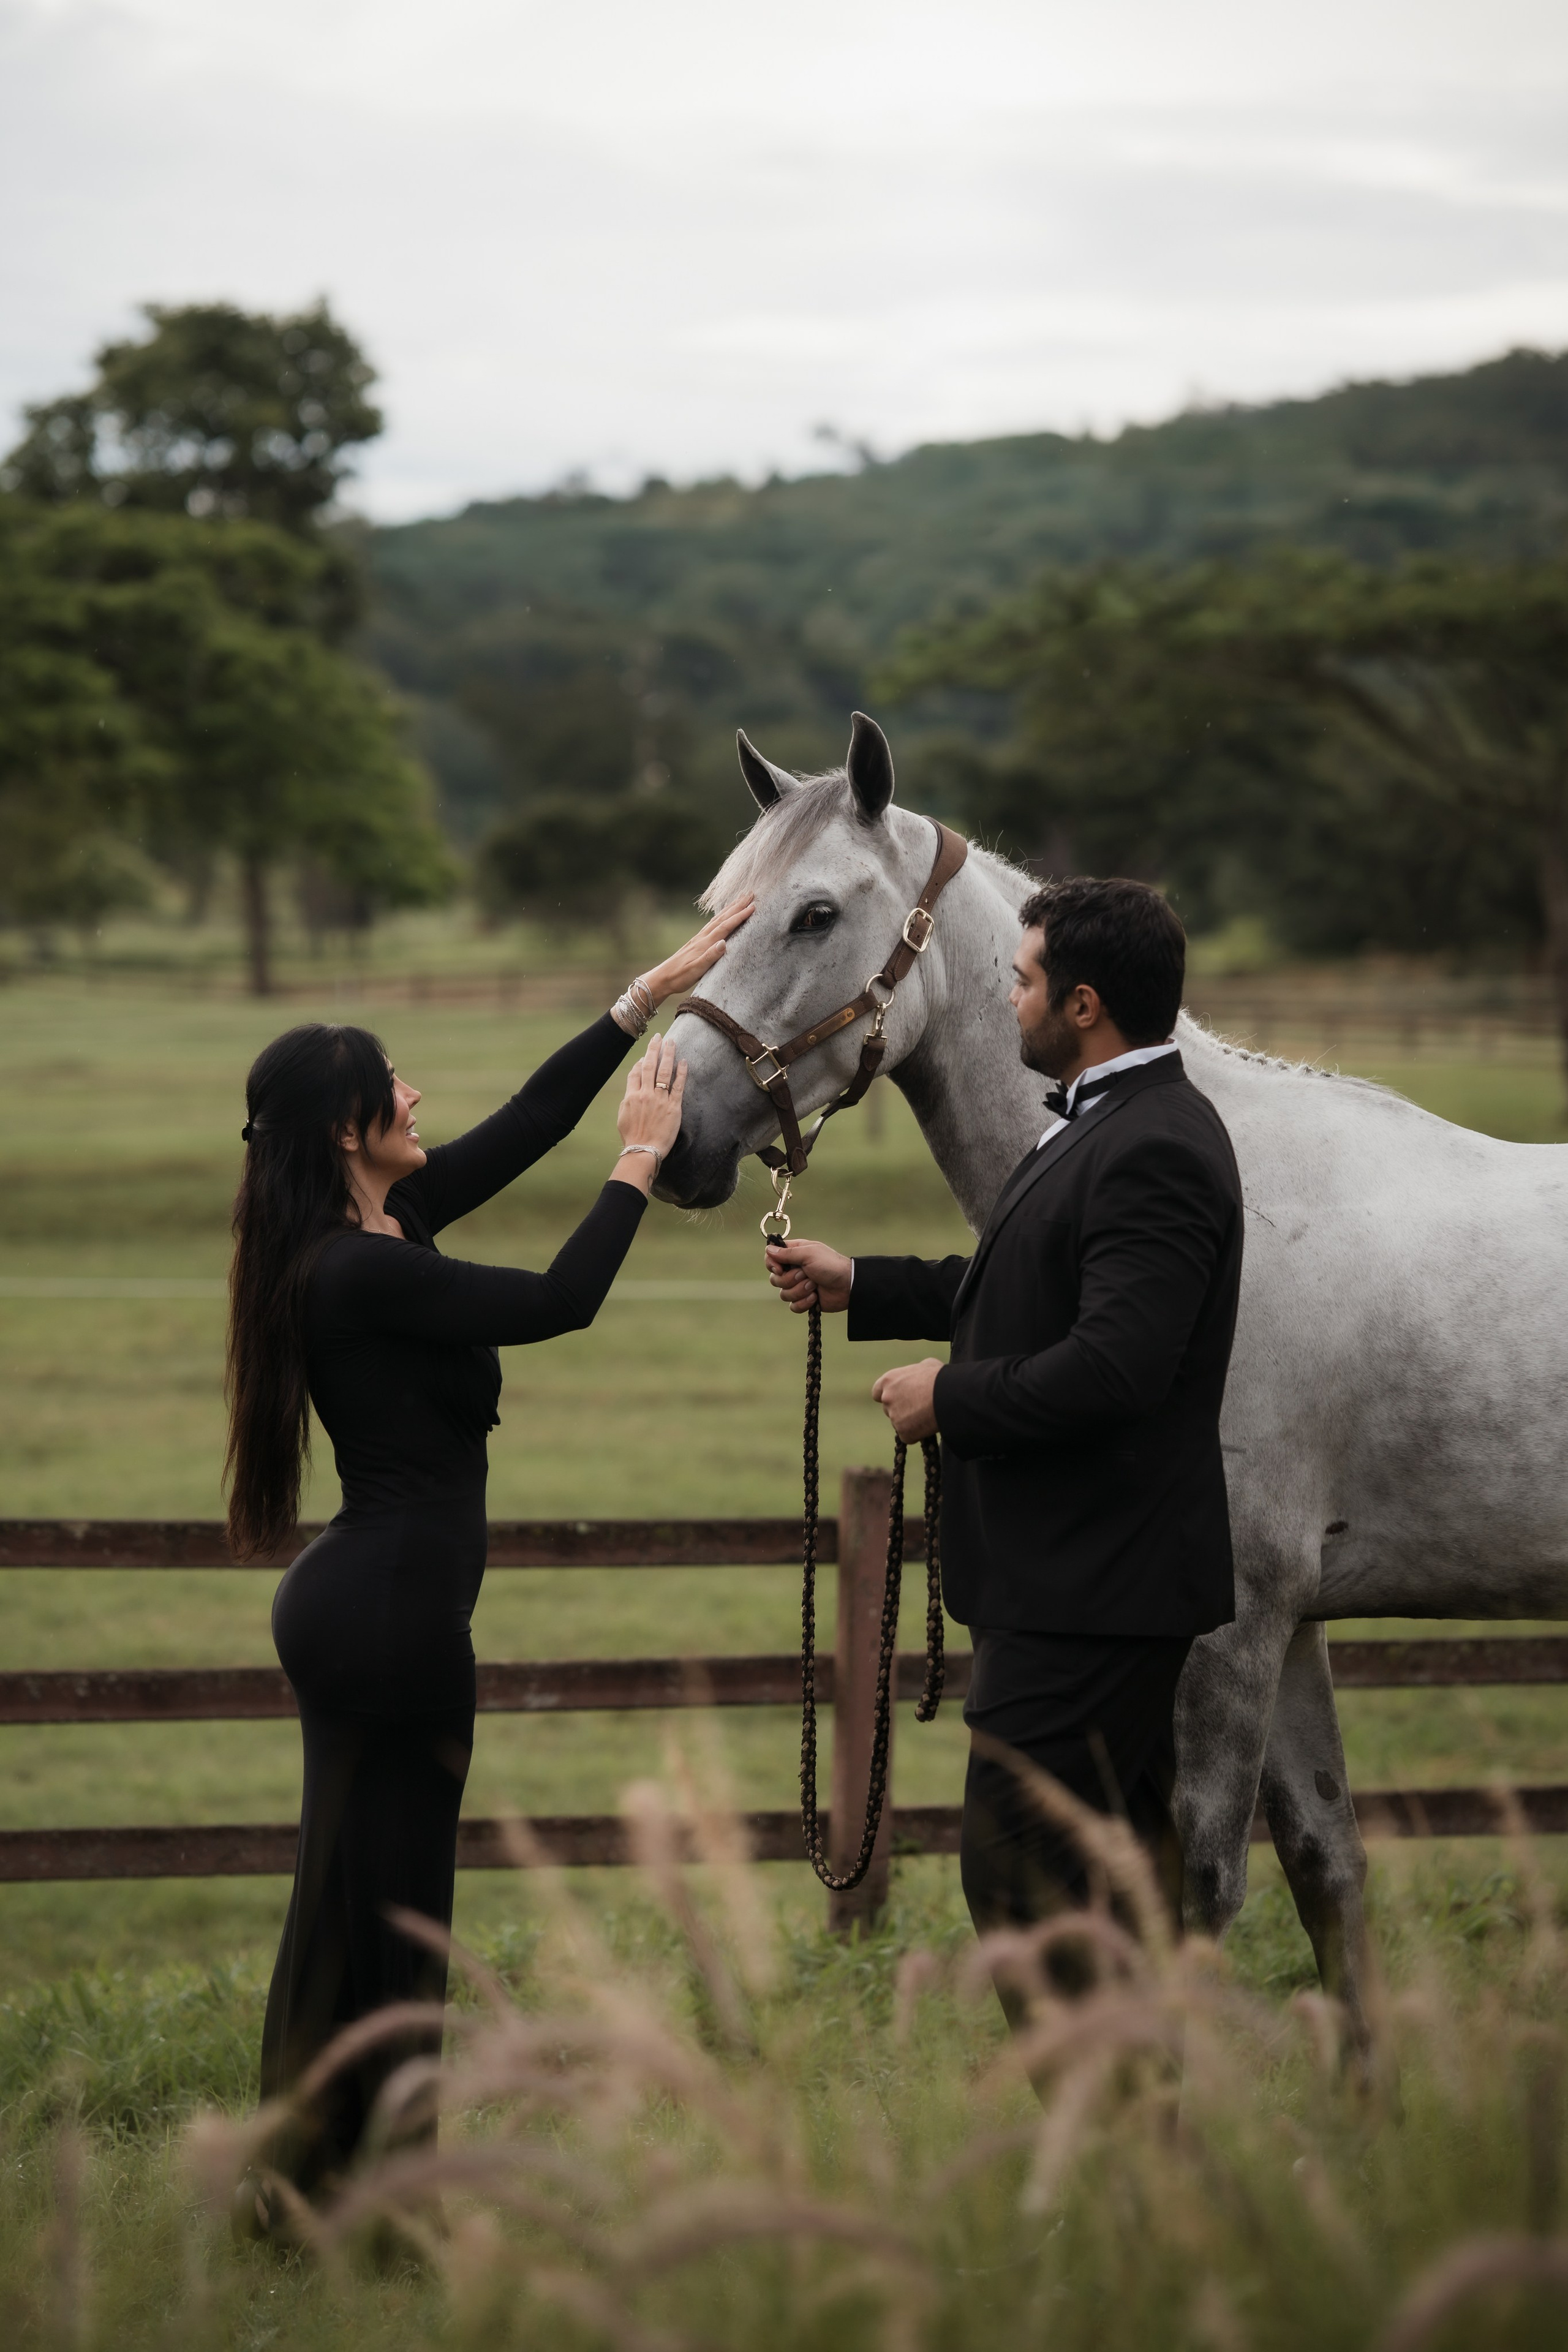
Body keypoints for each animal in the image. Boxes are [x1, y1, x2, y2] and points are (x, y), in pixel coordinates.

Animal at [657, 712, 1568, 2045]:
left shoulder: (1232, 1621)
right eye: (715, 906)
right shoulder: (1293, 1620)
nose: (669, 1135)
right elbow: (1327, 1870)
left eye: (815, 914)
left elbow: (1194, 1888)